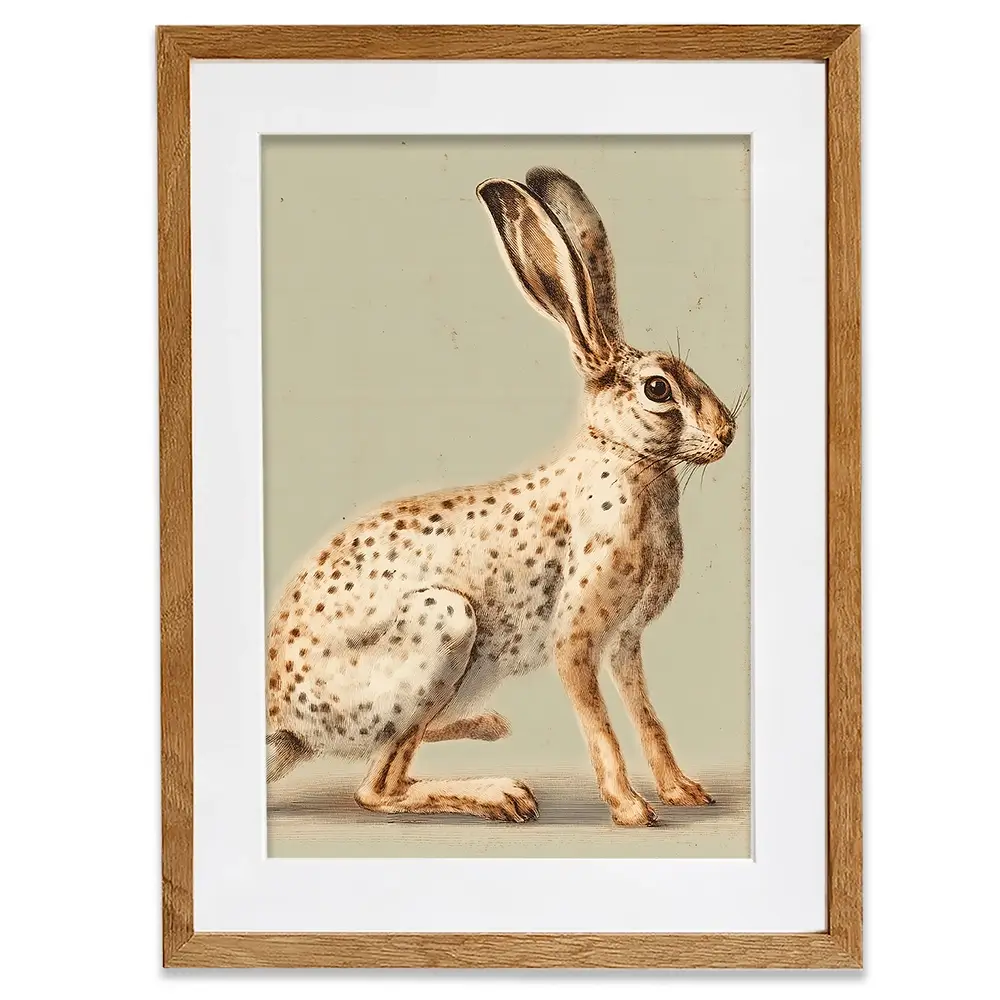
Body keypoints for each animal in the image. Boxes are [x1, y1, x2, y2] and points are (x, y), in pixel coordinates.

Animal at [266, 166, 737, 827]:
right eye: (657, 390)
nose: (728, 433)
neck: (626, 462)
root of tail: (280, 718)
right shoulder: (576, 640)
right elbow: (602, 731)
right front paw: (631, 810)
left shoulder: (625, 643)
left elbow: (647, 717)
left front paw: (682, 791)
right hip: (444, 628)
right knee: (377, 787)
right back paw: (502, 794)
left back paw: (489, 728)